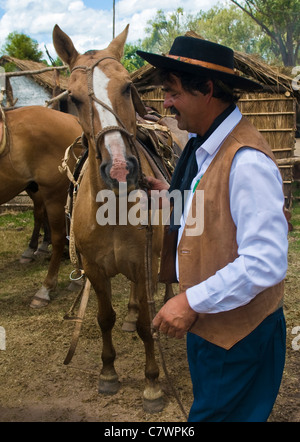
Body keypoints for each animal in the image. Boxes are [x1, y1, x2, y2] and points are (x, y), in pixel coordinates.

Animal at [52, 23, 183, 410]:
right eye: (74, 98)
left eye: (127, 87)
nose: (121, 169)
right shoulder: (96, 269)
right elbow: (104, 318)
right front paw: (108, 373)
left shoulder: (143, 264)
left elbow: (145, 327)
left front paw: (152, 384)